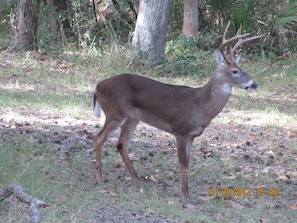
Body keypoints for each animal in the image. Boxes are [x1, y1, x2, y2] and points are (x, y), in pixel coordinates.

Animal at [92, 22, 262, 204]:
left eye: (242, 68)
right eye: (234, 71)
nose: (253, 84)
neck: (200, 106)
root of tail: (98, 85)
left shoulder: (192, 135)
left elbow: (188, 162)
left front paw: (187, 195)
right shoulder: (180, 130)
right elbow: (182, 163)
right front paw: (185, 198)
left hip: (132, 118)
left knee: (121, 144)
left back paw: (137, 180)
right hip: (115, 112)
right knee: (99, 138)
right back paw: (99, 178)